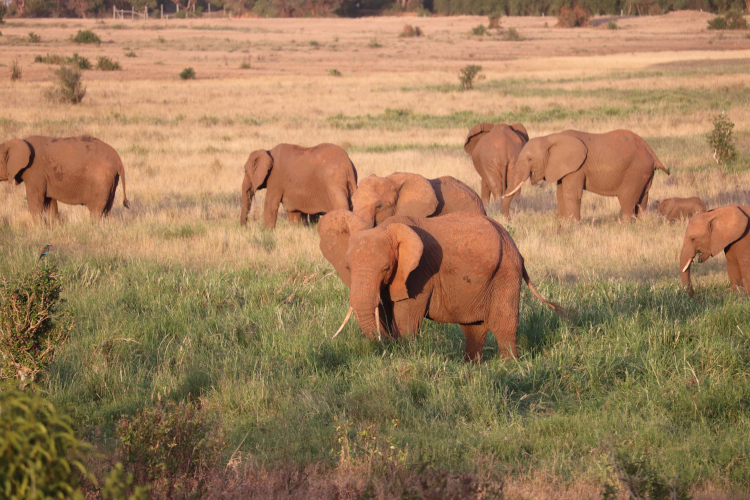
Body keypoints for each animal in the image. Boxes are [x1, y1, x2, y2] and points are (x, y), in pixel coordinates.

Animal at [0, 135, 130, 219]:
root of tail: (118, 160)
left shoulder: (35, 172)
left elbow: (35, 200)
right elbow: (50, 202)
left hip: (101, 181)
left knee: (96, 211)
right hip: (112, 180)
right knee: (107, 210)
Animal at [318, 209, 564, 362]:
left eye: (386, 268)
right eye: (348, 267)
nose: (382, 346)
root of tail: (516, 248)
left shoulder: (418, 274)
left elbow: (405, 320)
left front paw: (401, 352)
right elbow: (385, 313)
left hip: (505, 274)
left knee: (504, 326)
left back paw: (509, 367)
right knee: (473, 328)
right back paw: (470, 367)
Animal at [506, 130, 668, 222]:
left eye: (529, 159)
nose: (509, 220)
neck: (550, 138)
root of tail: (651, 152)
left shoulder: (577, 168)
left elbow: (572, 195)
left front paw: (574, 228)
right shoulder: (565, 169)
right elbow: (560, 194)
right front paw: (563, 226)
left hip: (635, 171)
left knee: (627, 199)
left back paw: (625, 227)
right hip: (643, 174)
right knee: (642, 200)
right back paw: (640, 225)